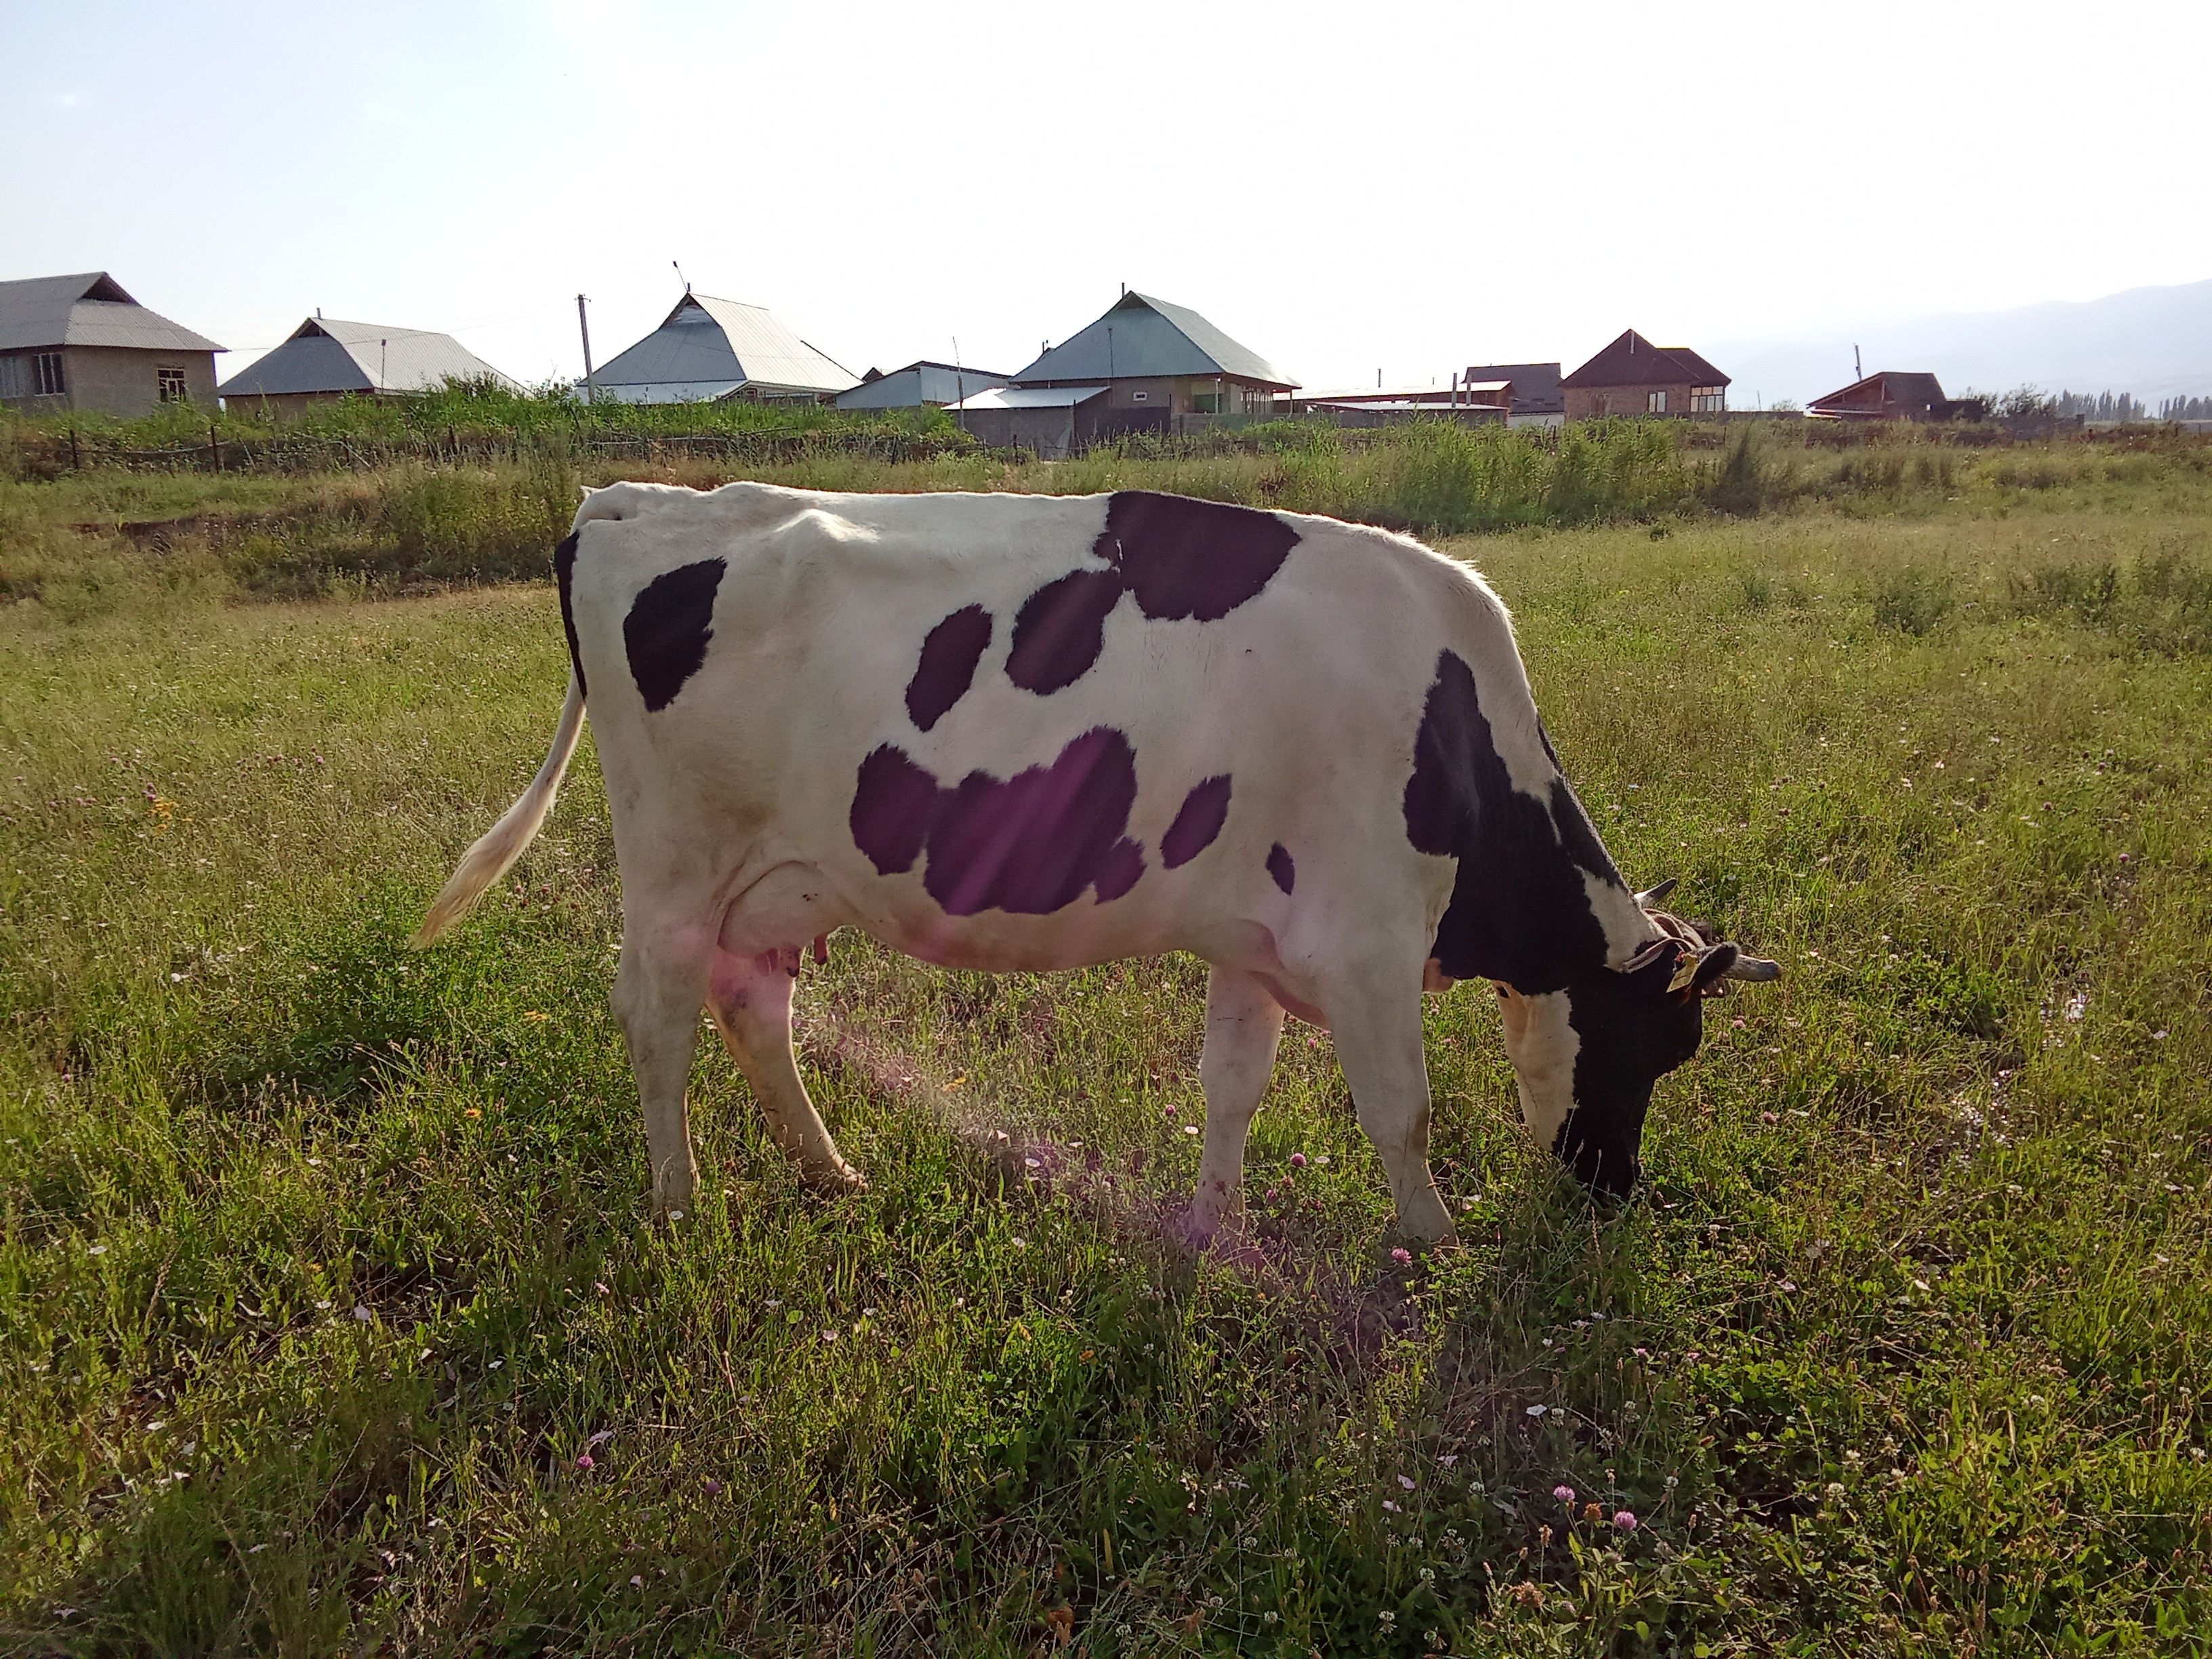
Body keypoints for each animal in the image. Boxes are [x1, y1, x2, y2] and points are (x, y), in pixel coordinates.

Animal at [413, 482, 1778, 1245]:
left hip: (776, 875)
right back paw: (681, 1203)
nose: (1615, 1187)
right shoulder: (1369, 940)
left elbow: (1231, 1085)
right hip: (674, 868)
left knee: (753, 1009)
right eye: (1662, 1048)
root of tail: (633, 497)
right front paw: (1434, 1241)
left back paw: (832, 1171)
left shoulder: (1256, 934)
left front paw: (1210, 1227)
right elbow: (1403, 1110)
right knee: (656, 1020)